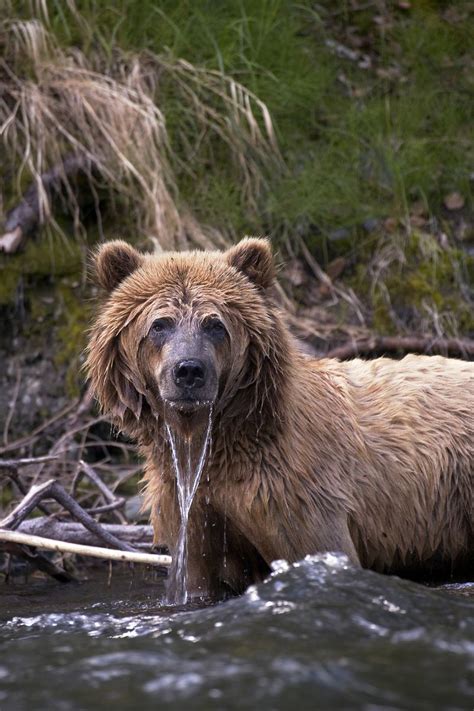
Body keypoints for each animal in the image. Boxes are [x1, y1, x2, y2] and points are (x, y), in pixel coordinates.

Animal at [86, 236, 474, 596]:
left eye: (214, 324)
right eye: (160, 324)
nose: (189, 371)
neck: (221, 441)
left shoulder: (293, 492)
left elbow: (318, 548)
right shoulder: (191, 507)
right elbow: (199, 574)